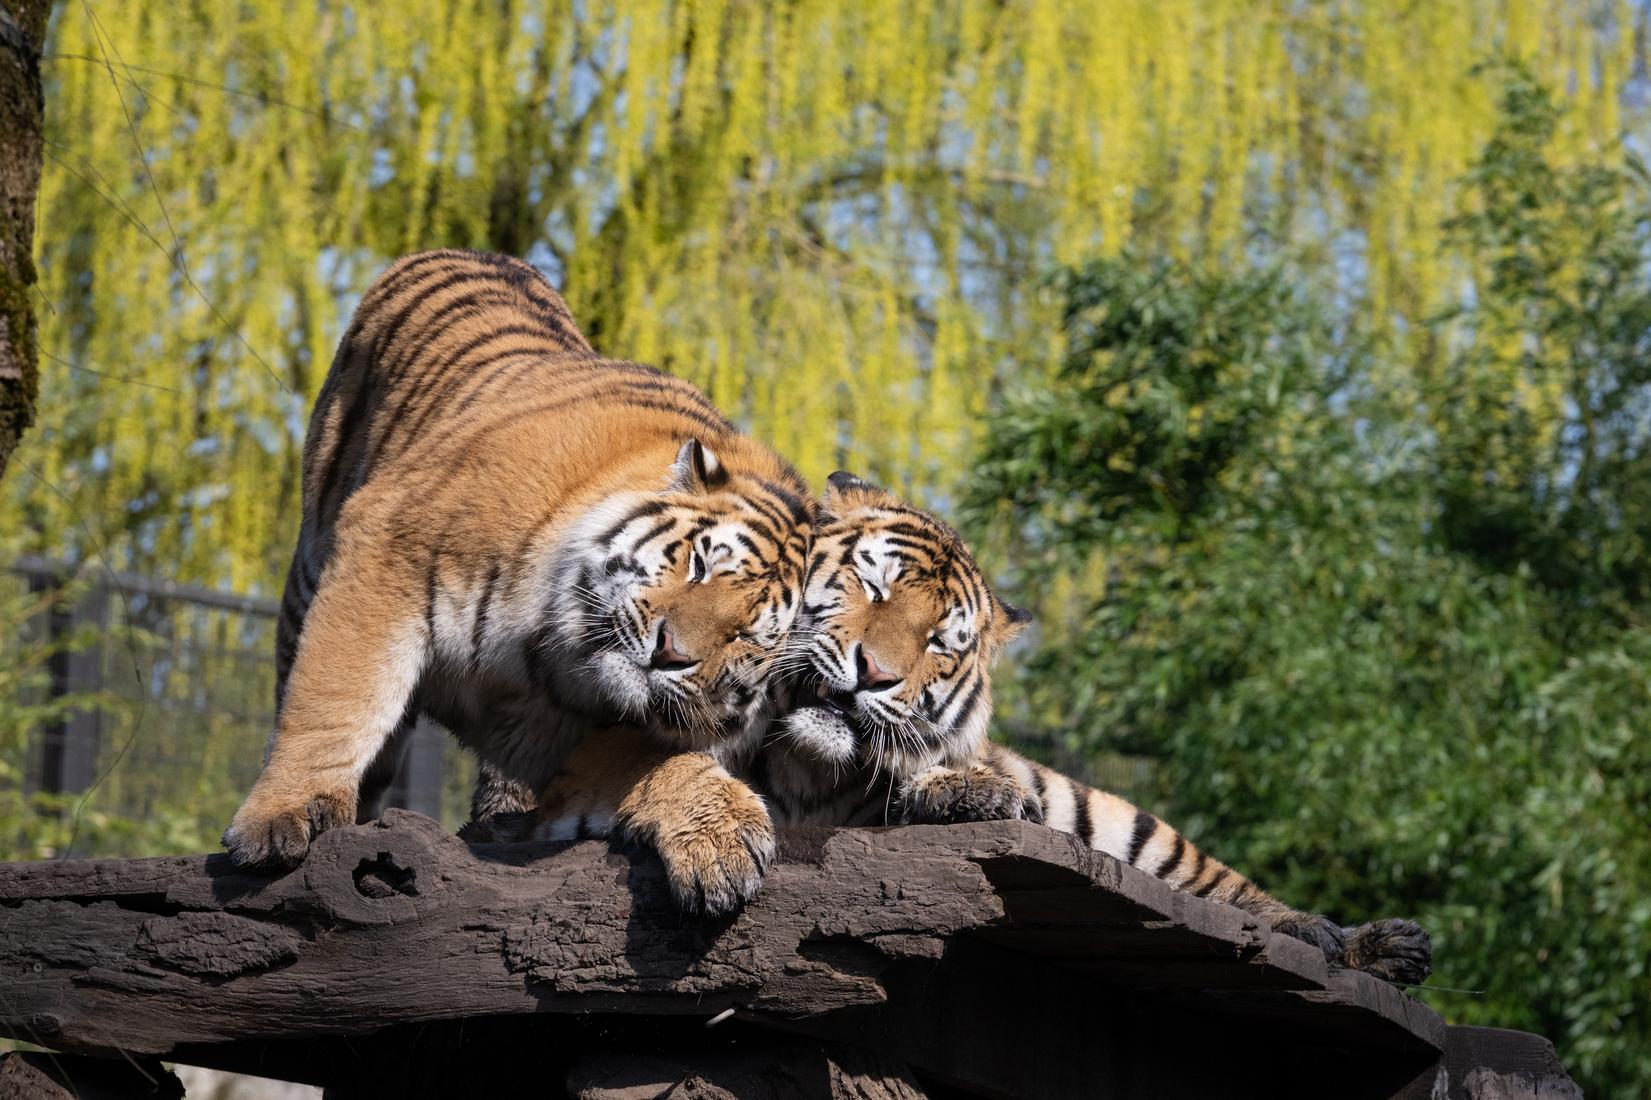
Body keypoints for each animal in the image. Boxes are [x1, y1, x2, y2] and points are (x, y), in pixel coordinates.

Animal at [223, 250, 813, 907]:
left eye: (745, 636)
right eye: (699, 563)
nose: (670, 652)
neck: (549, 652)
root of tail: (480, 253)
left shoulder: (562, 732)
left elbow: (650, 759)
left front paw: (721, 836)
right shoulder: (388, 549)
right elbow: (336, 700)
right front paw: (280, 818)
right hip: (311, 560)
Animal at [518, 471, 1432, 986]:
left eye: (939, 643)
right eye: (872, 586)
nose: (874, 673)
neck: (804, 768)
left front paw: (970, 791)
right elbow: (668, 770)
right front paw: (716, 853)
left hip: (1128, 824)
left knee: (1218, 887)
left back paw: (1362, 941)